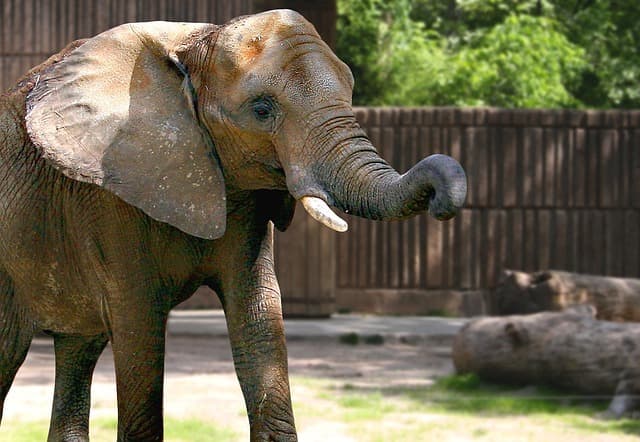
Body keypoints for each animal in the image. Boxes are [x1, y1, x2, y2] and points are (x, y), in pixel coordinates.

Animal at [0, 9, 466, 441]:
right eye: (261, 110)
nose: (443, 197)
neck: (194, 44)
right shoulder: (111, 191)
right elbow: (140, 325)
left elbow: (258, 313)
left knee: (78, 349)